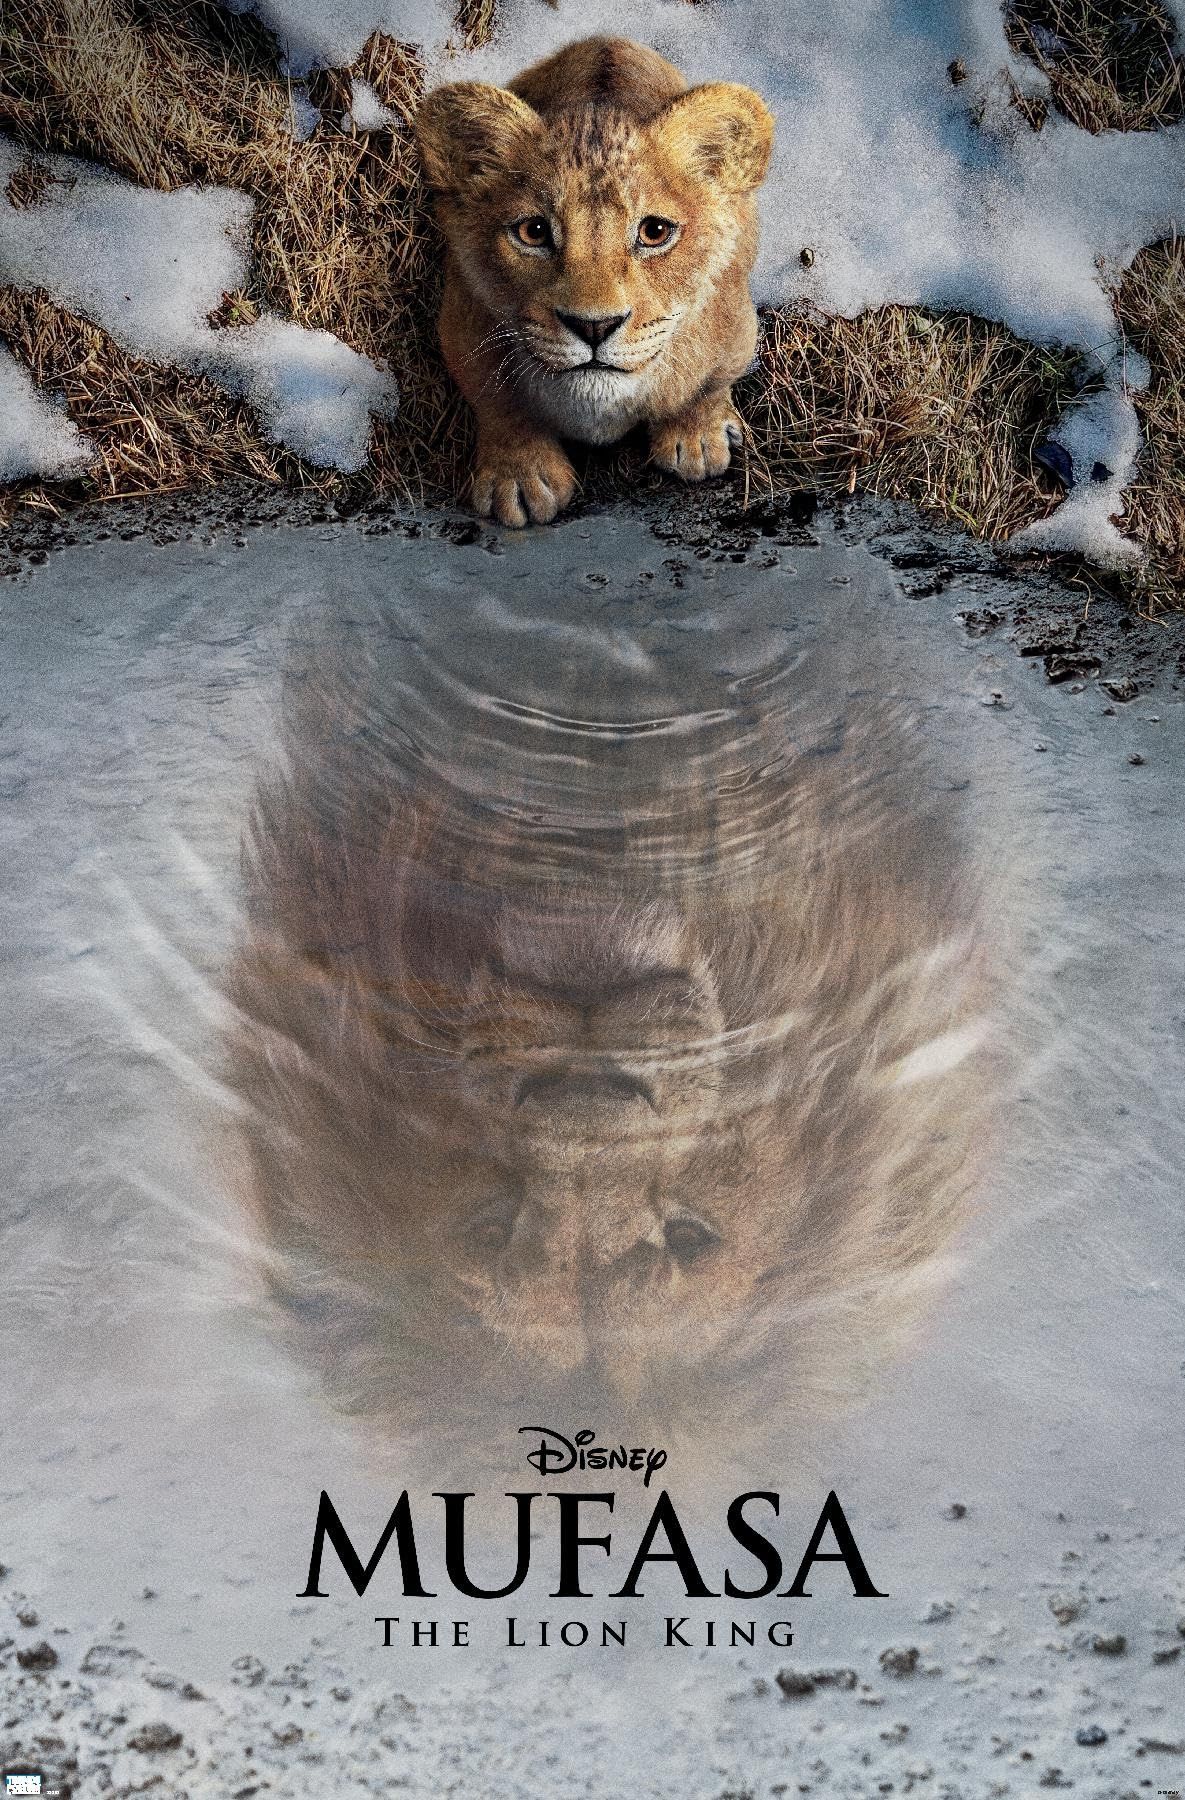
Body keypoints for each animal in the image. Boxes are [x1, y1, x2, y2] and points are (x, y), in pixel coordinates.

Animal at [413, 36, 774, 527]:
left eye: (654, 231)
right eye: (533, 232)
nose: (594, 326)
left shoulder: (735, 325)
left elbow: (706, 386)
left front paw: (698, 440)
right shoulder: (462, 326)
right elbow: (499, 404)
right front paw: (519, 478)